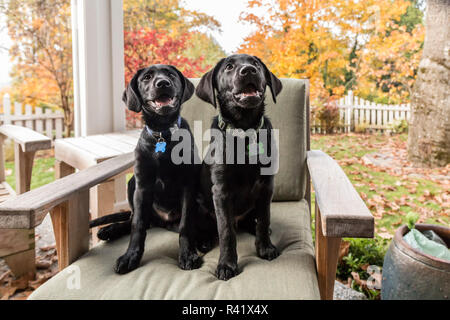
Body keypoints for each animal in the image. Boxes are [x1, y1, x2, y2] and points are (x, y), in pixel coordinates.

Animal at [91, 65, 202, 276]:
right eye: (147, 77)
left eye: (171, 75)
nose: (162, 83)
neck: (163, 134)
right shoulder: (142, 186)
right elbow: (138, 225)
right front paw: (130, 256)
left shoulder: (188, 185)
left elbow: (186, 224)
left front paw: (187, 254)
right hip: (131, 184)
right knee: (133, 219)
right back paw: (110, 230)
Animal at [195, 53, 284, 278]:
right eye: (228, 67)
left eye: (256, 64)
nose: (248, 70)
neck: (244, 132)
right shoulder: (221, 191)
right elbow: (226, 231)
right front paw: (227, 264)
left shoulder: (266, 187)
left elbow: (264, 219)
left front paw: (265, 247)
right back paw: (203, 240)